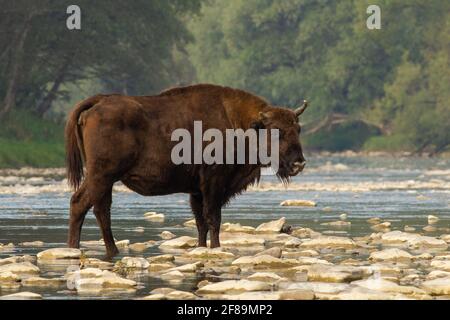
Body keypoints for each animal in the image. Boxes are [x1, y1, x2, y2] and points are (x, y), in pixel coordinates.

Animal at [65, 84, 308, 258]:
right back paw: (87, 250)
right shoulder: (213, 182)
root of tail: (98, 101)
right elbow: (213, 219)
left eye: (298, 129)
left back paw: (99, 250)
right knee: (85, 204)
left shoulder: (197, 190)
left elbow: (200, 222)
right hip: (102, 175)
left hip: (104, 178)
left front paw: (201, 247)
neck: (240, 123)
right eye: (277, 131)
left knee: (96, 208)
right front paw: (216, 248)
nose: (299, 163)